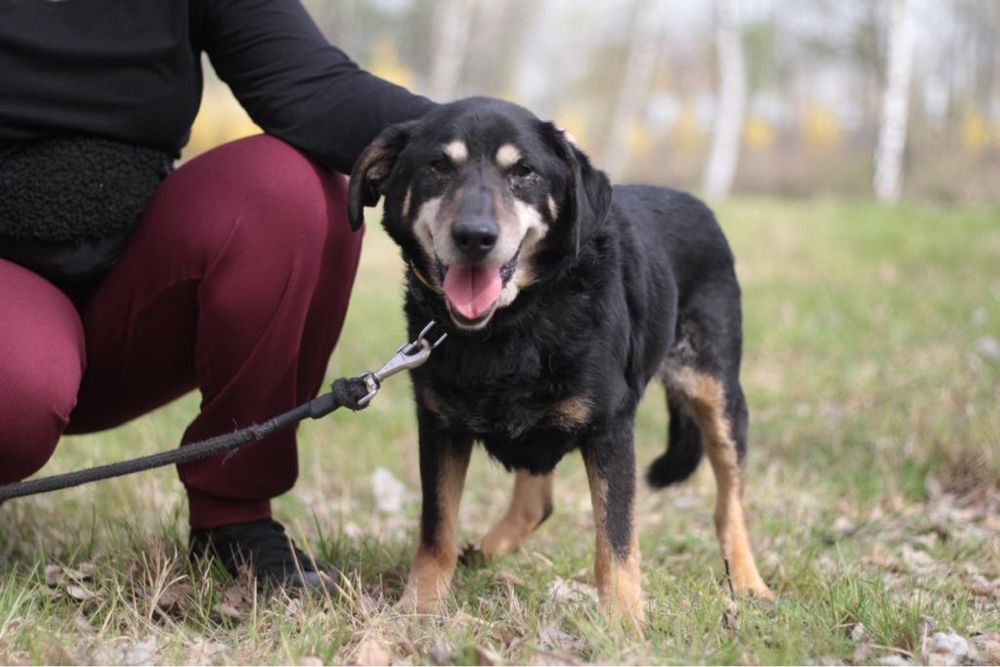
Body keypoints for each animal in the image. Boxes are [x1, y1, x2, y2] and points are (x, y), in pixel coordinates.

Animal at [346, 96, 772, 624]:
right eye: (438, 166)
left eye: (523, 172)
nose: (474, 236)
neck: (511, 322)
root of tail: (698, 204)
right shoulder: (439, 427)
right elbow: (436, 527)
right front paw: (420, 608)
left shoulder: (611, 428)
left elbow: (616, 539)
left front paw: (624, 624)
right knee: (536, 500)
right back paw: (487, 550)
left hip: (718, 394)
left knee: (729, 504)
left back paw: (750, 584)